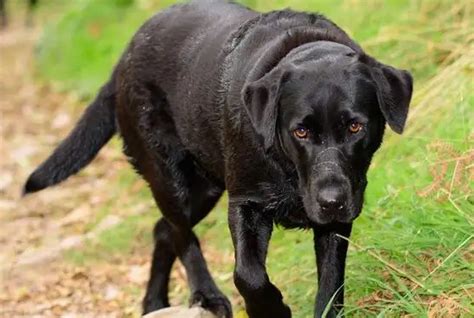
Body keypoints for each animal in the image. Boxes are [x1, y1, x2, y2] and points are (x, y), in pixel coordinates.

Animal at [24, 1, 412, 316]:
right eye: (300, 132)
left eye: (355, 127)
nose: (331, 200)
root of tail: (123, 58)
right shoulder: (245, 203)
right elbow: (248, 275)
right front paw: (271, 309)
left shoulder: (337, 217)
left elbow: (331, 285)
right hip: (170, 178)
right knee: (181, 234)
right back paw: (207, 296)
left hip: (205, 186)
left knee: (162, 229)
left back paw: (154, 303)